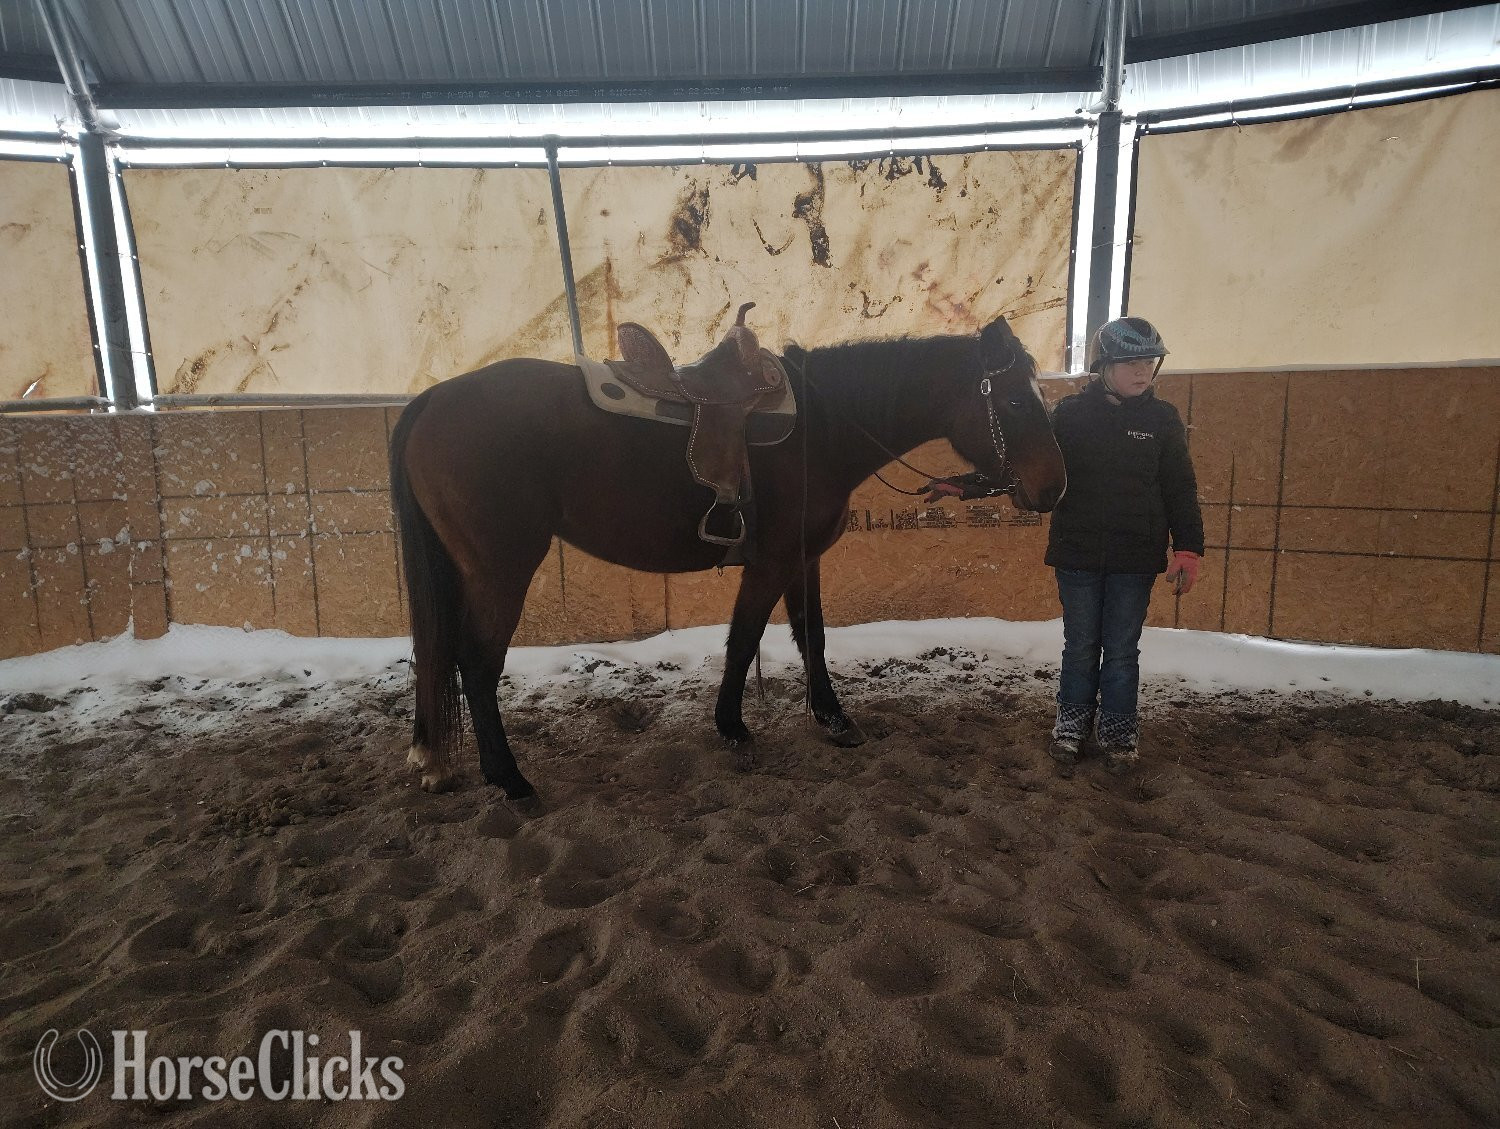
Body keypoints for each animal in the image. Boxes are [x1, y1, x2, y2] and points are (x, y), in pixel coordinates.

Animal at [389, 312, 1066, 806]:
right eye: (1013, 402)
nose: (1054, 488)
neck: (821, 427)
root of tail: (431, 400)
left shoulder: (802, 560)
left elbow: (811, 636)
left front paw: (832, 718)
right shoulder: (770, 563)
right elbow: (744, 639)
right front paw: (733, 726)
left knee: (437, 652)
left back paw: (434, 758)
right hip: (500, 571)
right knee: (476, 662)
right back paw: (509, 778)